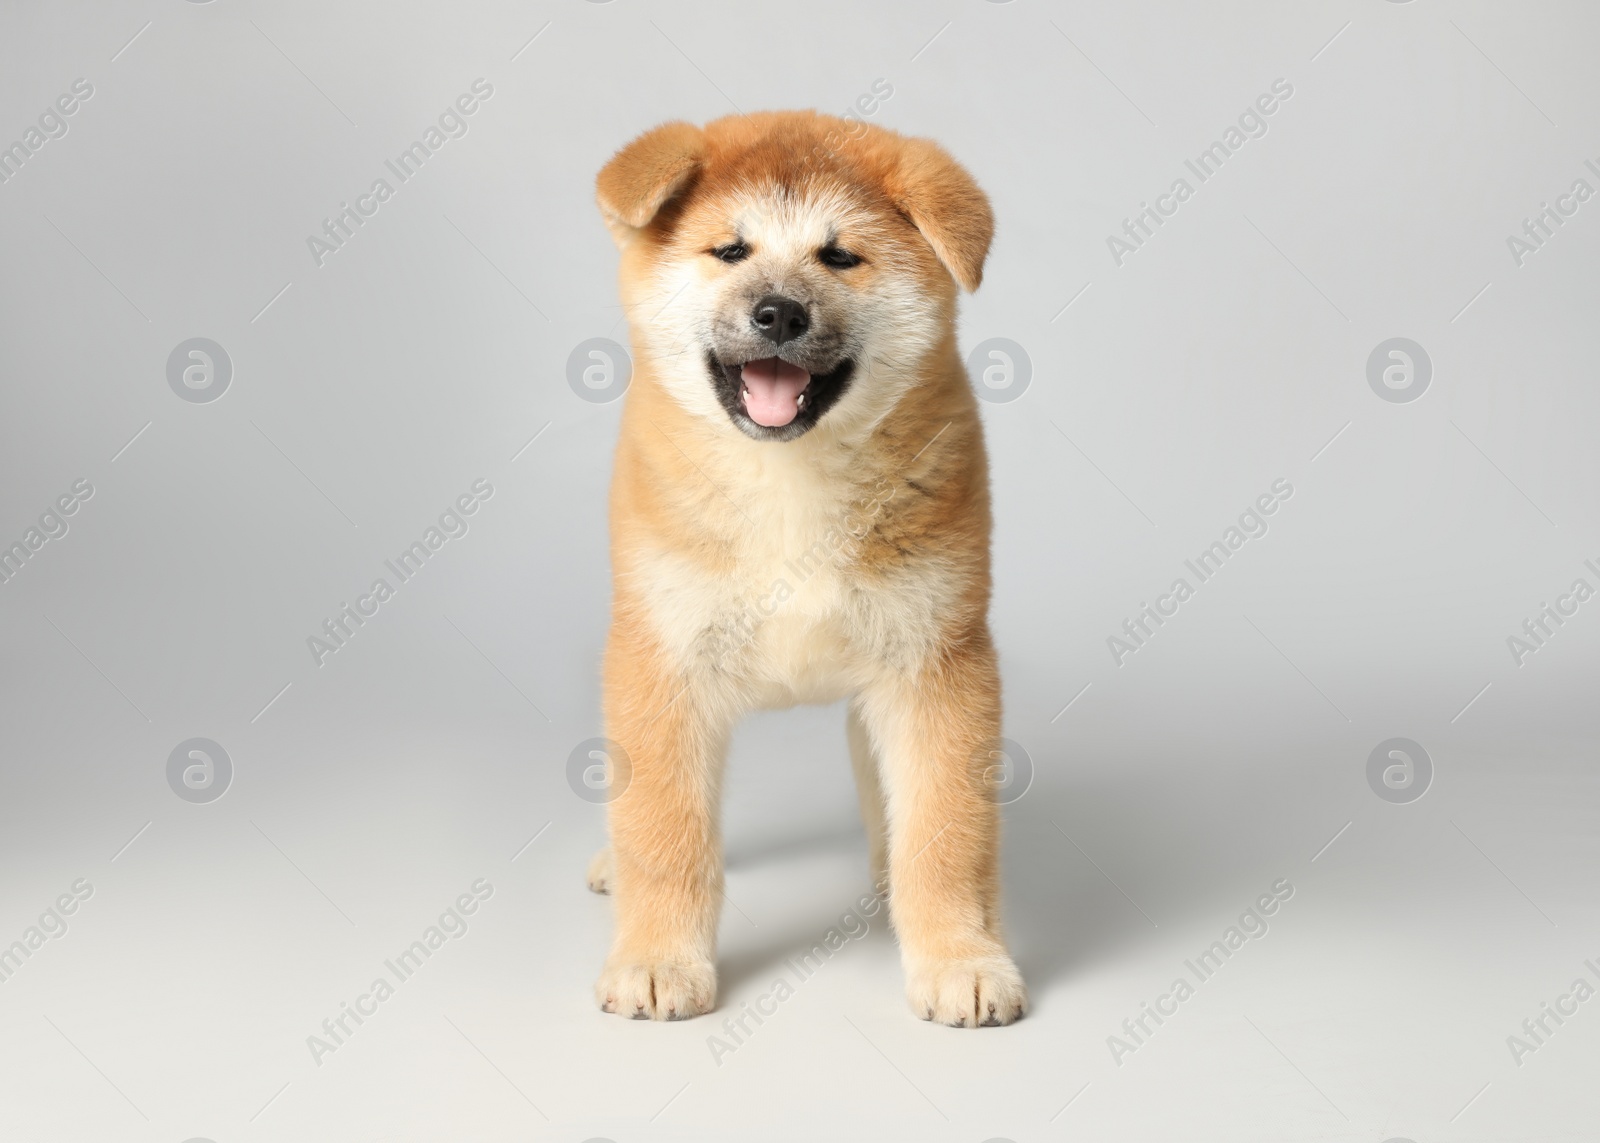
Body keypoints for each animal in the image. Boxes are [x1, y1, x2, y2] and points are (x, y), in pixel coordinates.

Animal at [588, 108, 1024, 1024]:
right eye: (730, 250)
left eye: (840, 257)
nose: (778, 313)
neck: (788, 483)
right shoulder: (663, 658)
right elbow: (665, 832)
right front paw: (657, 957)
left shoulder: (939, 660)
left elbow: (947, 834)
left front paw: (962, 955)